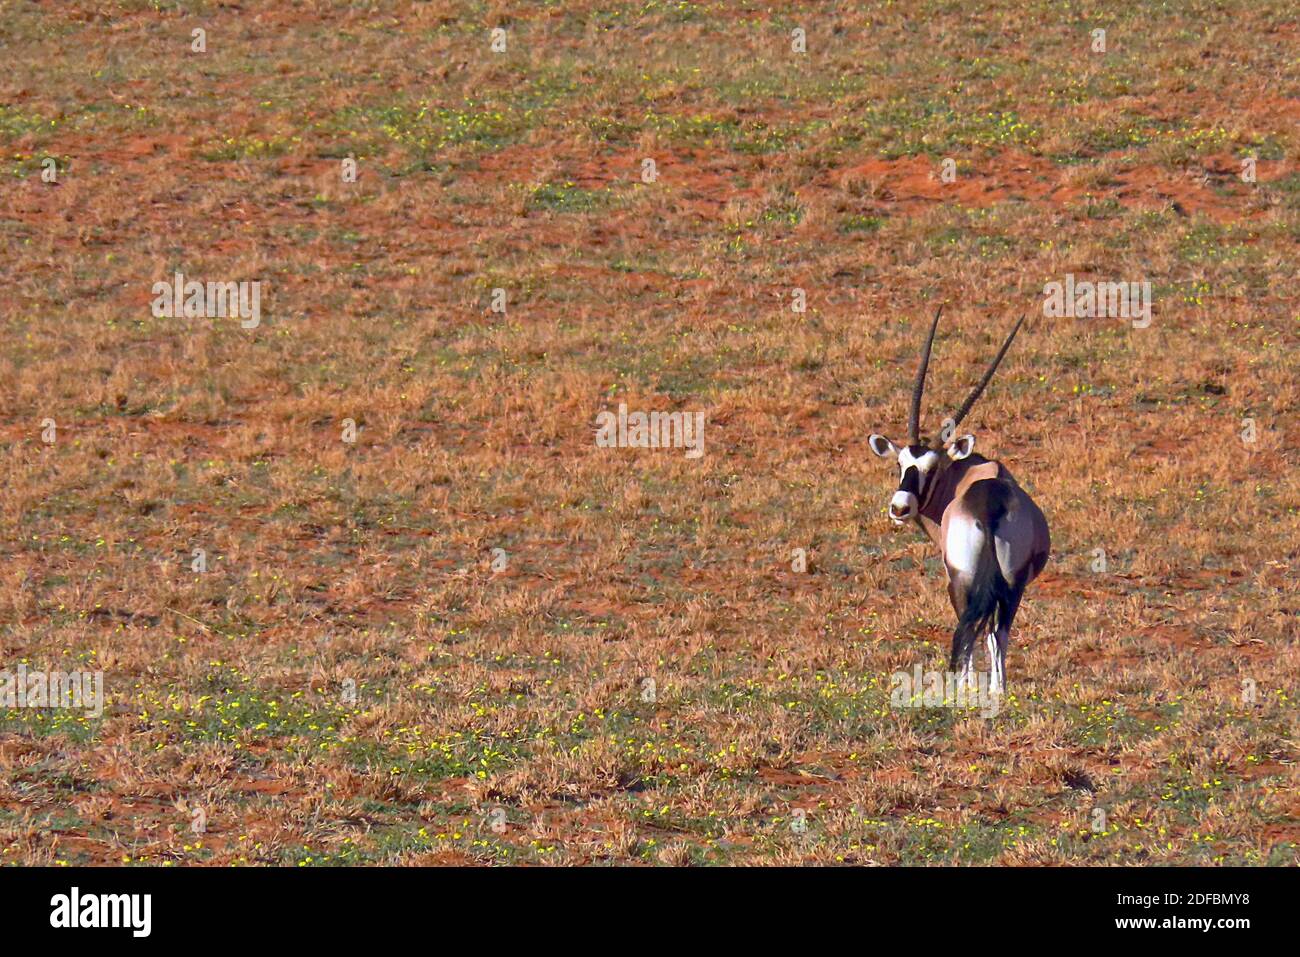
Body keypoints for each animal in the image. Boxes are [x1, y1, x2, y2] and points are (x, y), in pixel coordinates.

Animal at [868, 310, 1050, 691]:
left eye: (932, 468)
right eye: (900, 464)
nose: (900, 508)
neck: (969, 473)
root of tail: (990, 506)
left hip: (962, 580)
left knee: (970, 632)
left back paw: (964, 688)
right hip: (1011, 585)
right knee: (997, 633)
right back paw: (998, 690)